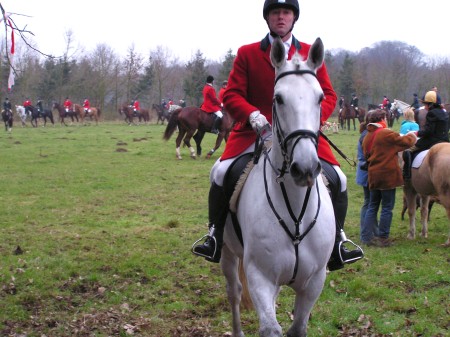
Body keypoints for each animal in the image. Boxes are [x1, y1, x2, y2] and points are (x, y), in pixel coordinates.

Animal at [220, 36, 336, 336]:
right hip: (227, 252)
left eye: (321, 98)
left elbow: (297, 327)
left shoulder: (314, 282)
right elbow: (271, 329)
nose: (305, 168)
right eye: (278, 98)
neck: (295, 211)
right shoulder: (260, 277)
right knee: (234, 293)